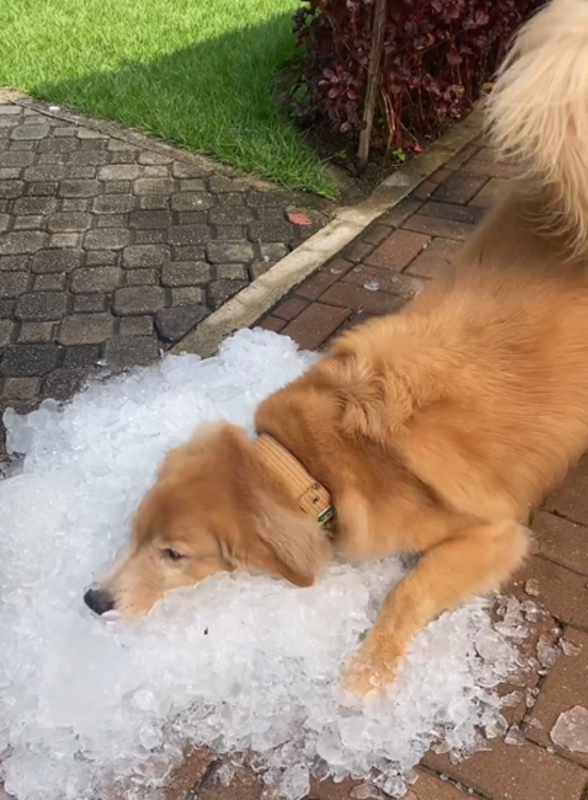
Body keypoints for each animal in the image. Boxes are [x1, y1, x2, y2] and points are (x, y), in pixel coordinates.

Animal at [86, 0, 588, 692]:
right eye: (134, 534)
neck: (314, 462)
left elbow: (410, 588)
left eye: (175, 553)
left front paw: (369, 672)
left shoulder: (496, 535)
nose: (93, 600)